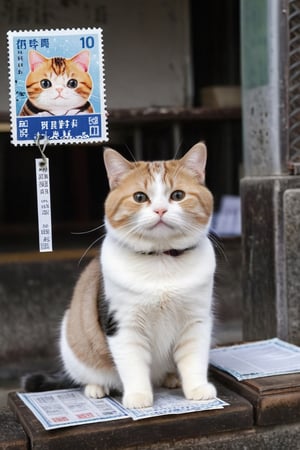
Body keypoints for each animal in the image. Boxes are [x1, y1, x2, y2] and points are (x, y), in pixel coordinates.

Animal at [22, 142, 216, 410]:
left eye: (177, 195)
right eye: (139, 197)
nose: (160, 209)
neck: (161, 261)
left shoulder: (196, 321)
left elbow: (194, 360)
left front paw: (197, 389)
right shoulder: (123, 324)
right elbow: (133, 365)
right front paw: (138, 397)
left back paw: (171, 378)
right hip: (72, 338)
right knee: (87, 376)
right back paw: (96, 388)